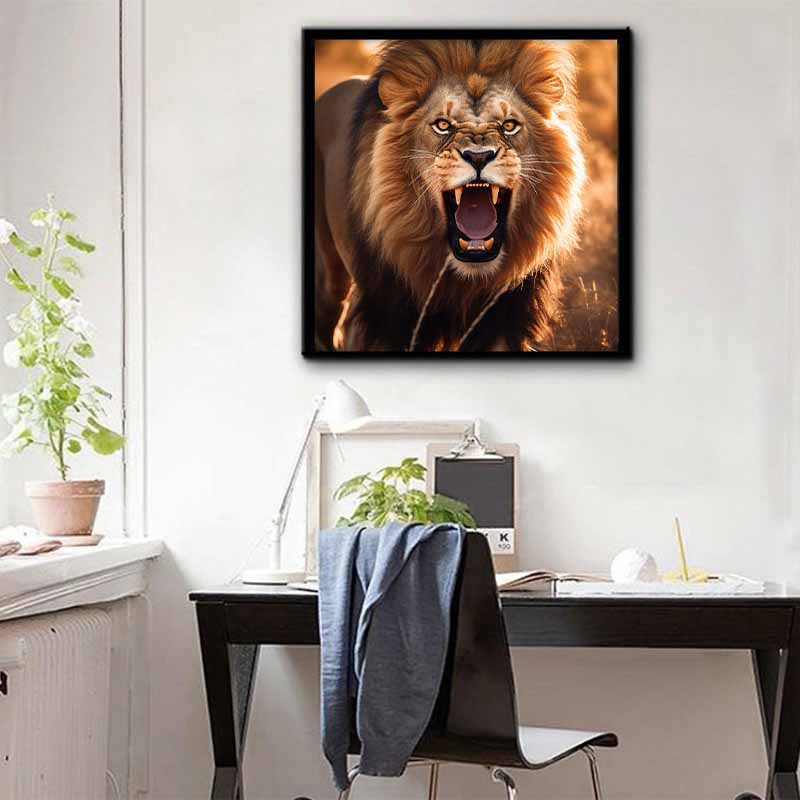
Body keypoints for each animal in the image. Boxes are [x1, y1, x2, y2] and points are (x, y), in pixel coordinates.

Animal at [314, 39, 586, 352]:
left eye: (509, 126)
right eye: (442, 125)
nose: (479, 156)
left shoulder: (504, 319)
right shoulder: (390, 320)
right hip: (330, 273)